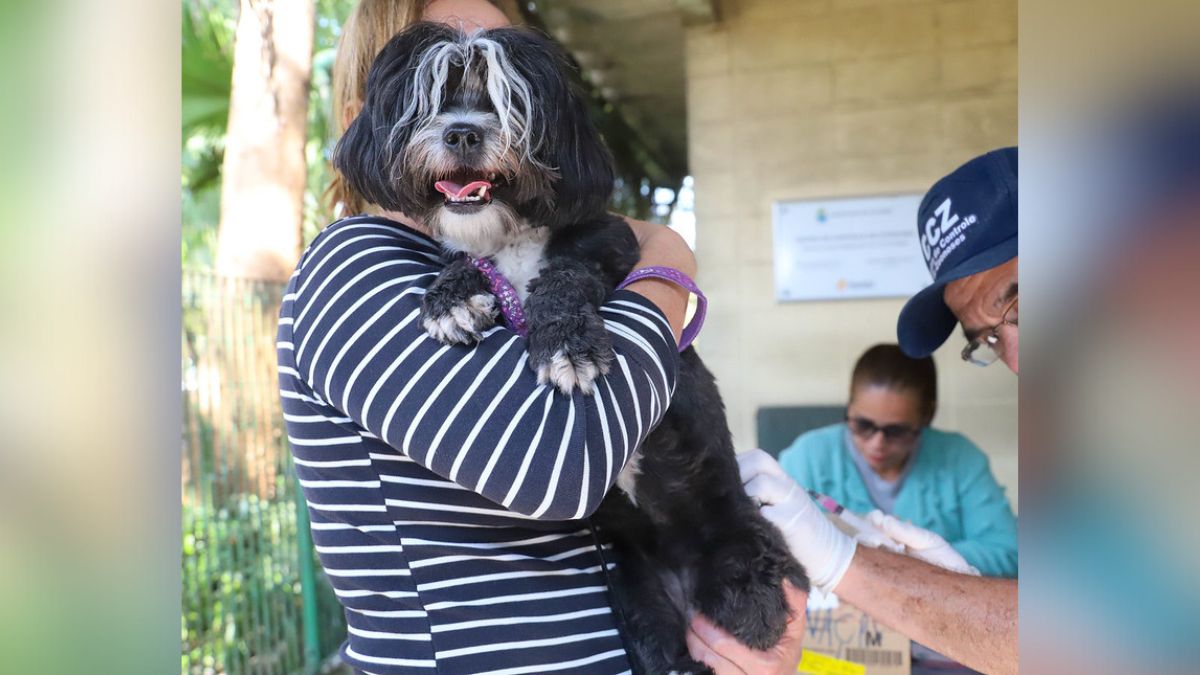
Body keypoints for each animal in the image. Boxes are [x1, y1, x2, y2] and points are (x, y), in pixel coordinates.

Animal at [333, 23, 811, 667]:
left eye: (506, 101)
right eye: (433, 99)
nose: (462, 132)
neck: (509, 235)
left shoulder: (607, 247)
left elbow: (565, 276)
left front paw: (564, 343)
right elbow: (462, 261)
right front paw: (450, 296)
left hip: (732, 520)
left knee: (754, 567)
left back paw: (752, 590)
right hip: (634, 588)